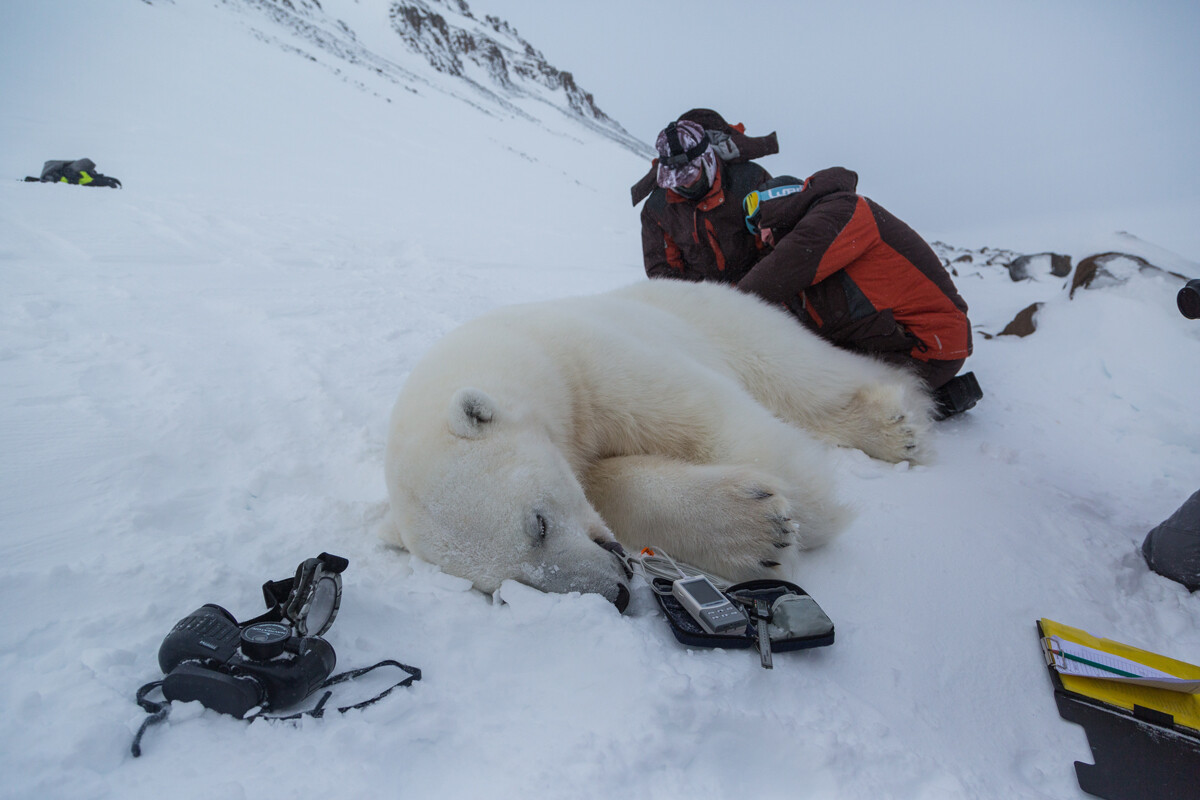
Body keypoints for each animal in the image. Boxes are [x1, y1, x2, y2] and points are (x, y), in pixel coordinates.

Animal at [388, 278, 931, 609]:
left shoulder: (591, 365)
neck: (525, 349)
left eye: (537, 524)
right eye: (503, 587)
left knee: (804, 375)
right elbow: (607, 484)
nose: (616, 591)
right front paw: (755, 531)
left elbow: (714, 421)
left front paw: (802, 517)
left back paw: (899, 427)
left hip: (728, 323)